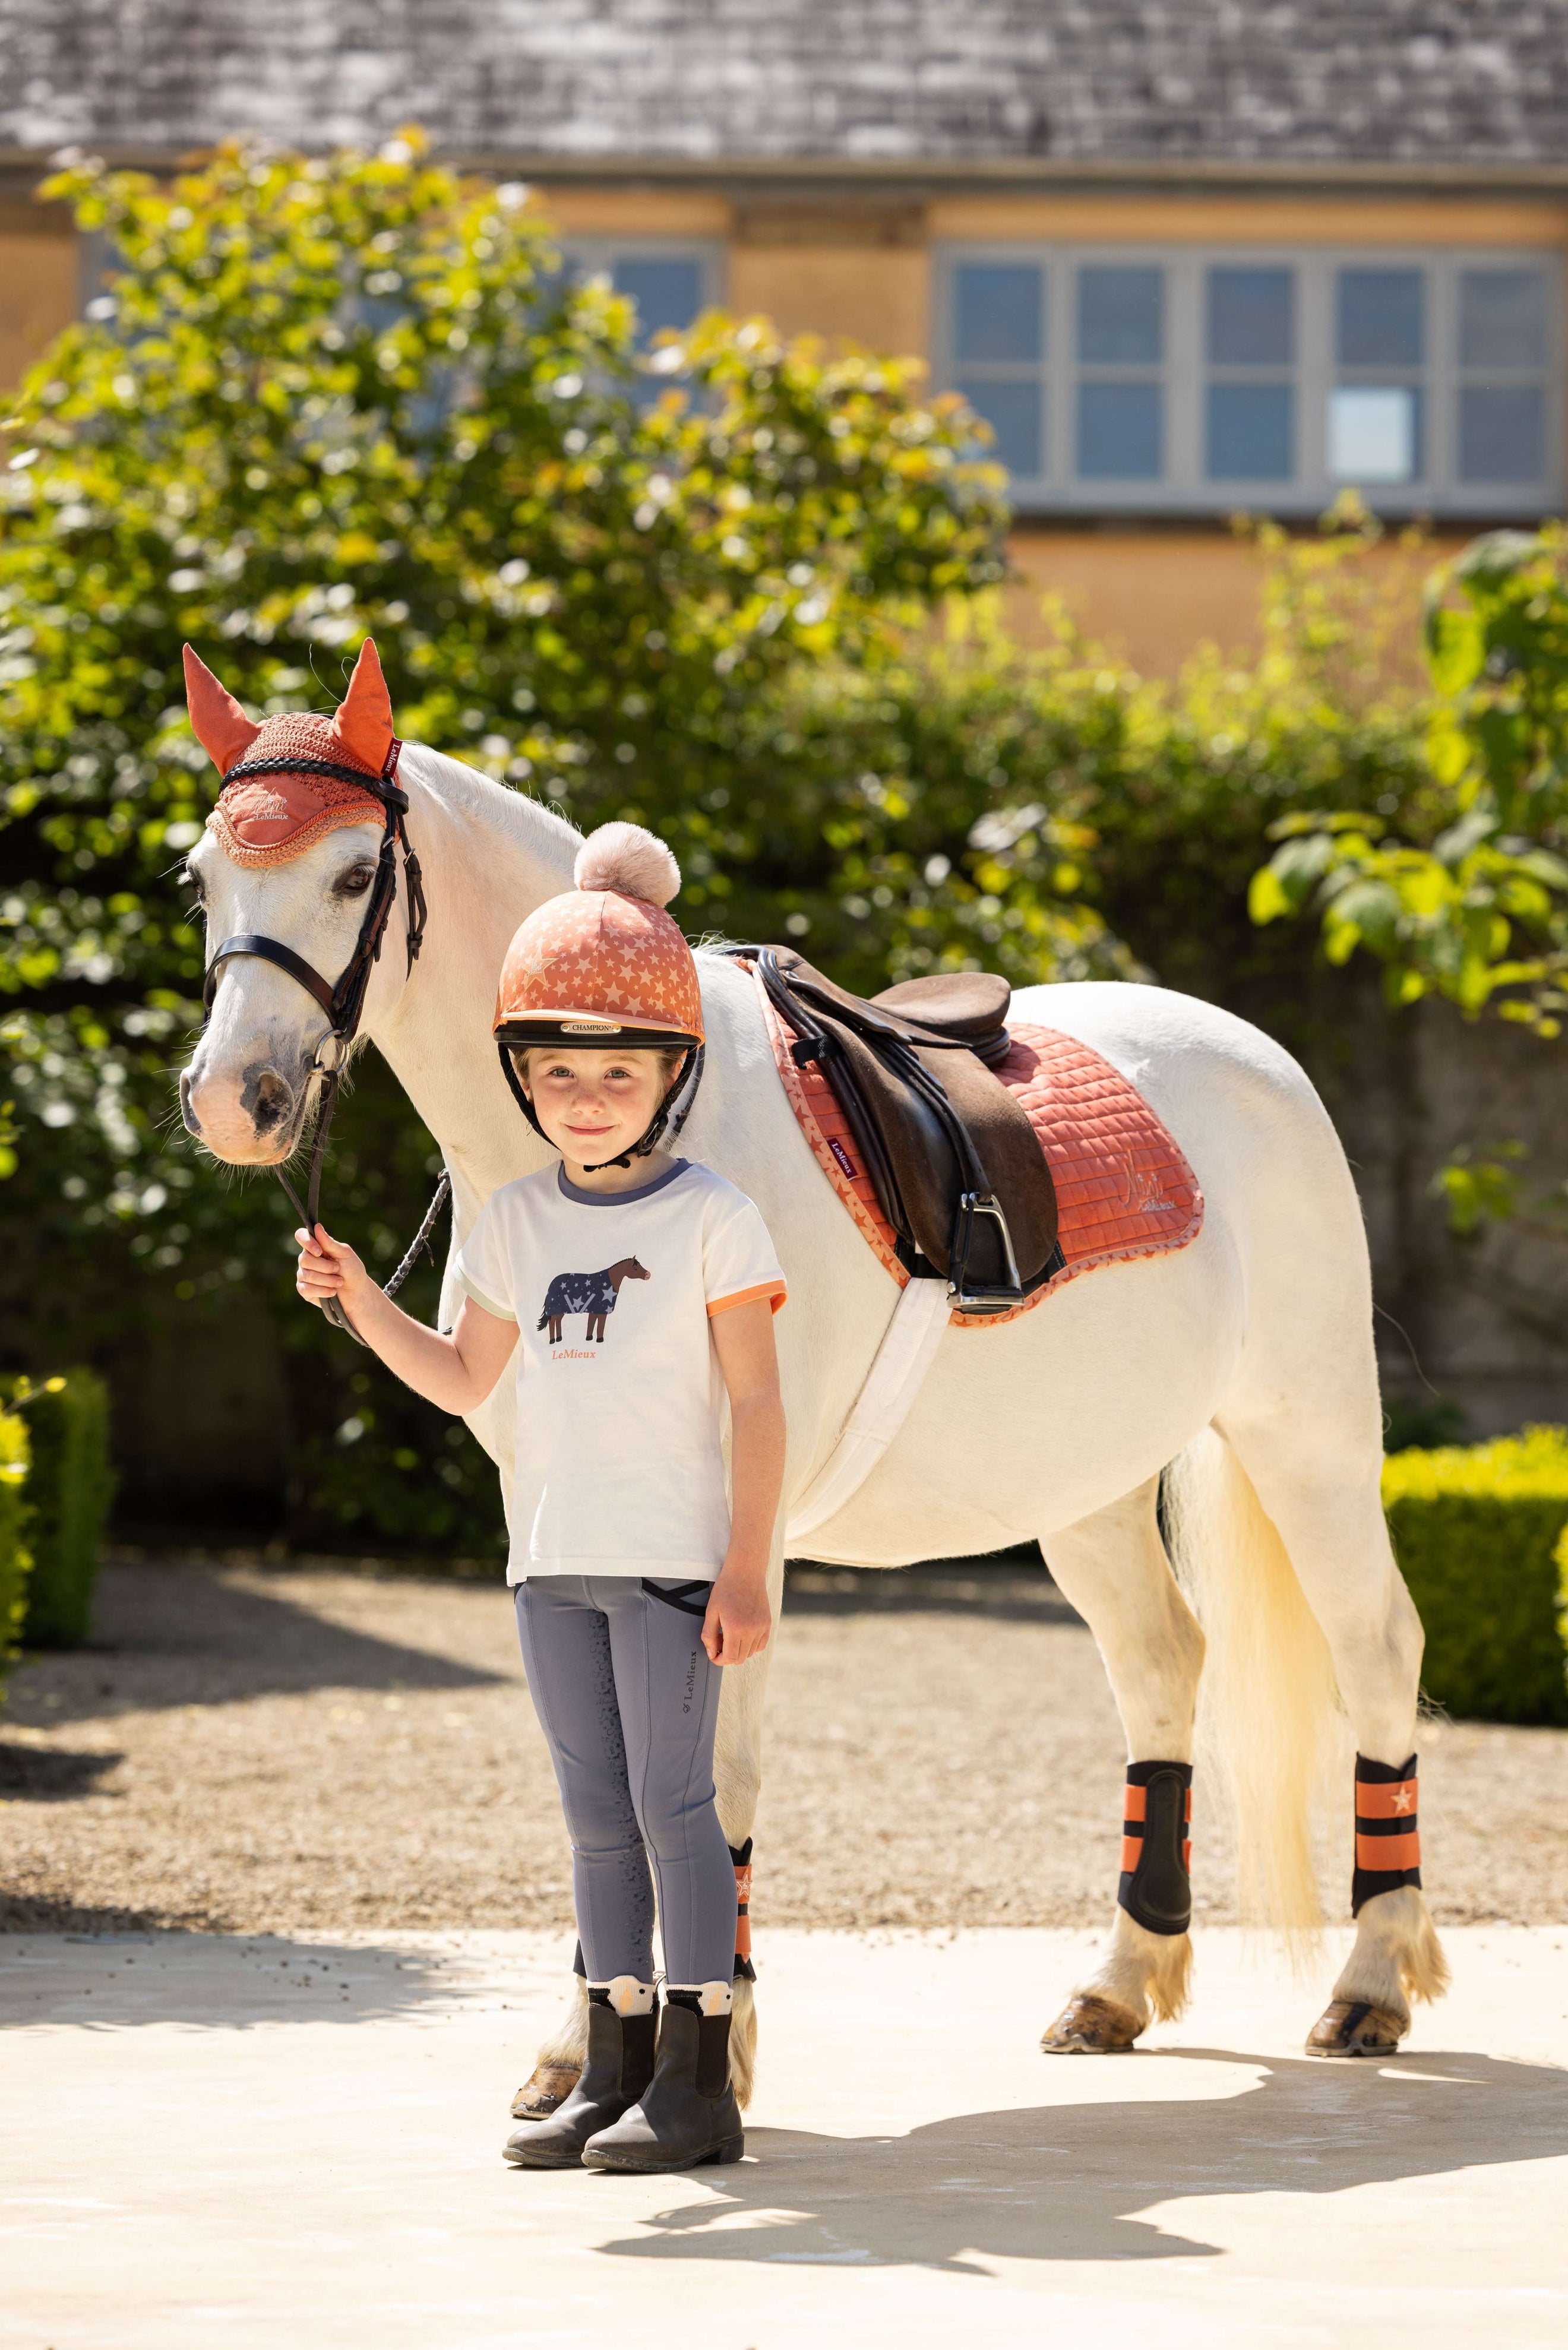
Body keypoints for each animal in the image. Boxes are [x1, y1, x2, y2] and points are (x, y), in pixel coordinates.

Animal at [181, 728, 1448, 2096]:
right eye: (201, 877)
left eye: (357, 872)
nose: (232, 1097)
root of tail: (1256, 1057)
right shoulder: (557, 1523)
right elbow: (605, 1781)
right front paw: (585, 2051)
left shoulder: (736, 1541)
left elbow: (710, 1781)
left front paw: (703, 2058)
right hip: (1089, 1486)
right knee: (1163, 1663)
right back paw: (1119, 1983)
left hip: (1307, 1437)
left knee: (1377, 1644)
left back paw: (1371, 1983)